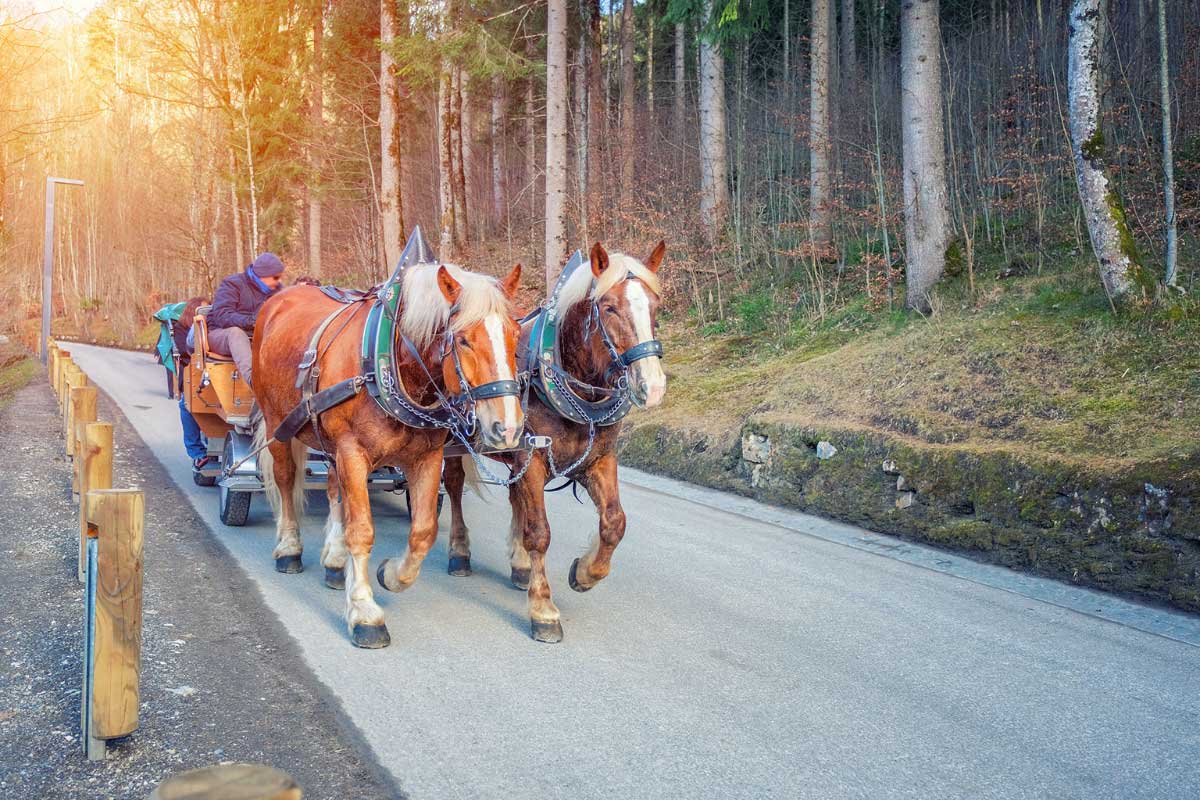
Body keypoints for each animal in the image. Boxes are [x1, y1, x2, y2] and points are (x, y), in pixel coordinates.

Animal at [250, 260, 523, 647]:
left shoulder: (427, 458)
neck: (393, 368)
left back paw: (335, 560)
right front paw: (364, 611)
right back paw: (289, 548)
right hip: (277, 423)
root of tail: (280, 298)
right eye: (463, 339)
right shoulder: (352, 452)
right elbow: (362, 529)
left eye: (516, 335)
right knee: (287, 479)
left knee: (334, 489)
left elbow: (422, 531)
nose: (508, 428)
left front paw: (391, 574)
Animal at [441, 242, 667, 642]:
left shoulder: (598, 460)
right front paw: (543, 609)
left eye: (656, 306)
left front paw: (585, 573)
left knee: (514, 499)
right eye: (609, 307)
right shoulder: (531, 460)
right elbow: (540, 533)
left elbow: (614, 522)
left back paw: (519, 567)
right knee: (453, 486)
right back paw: (460, 551)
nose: (652, 386)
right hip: (454, 438)